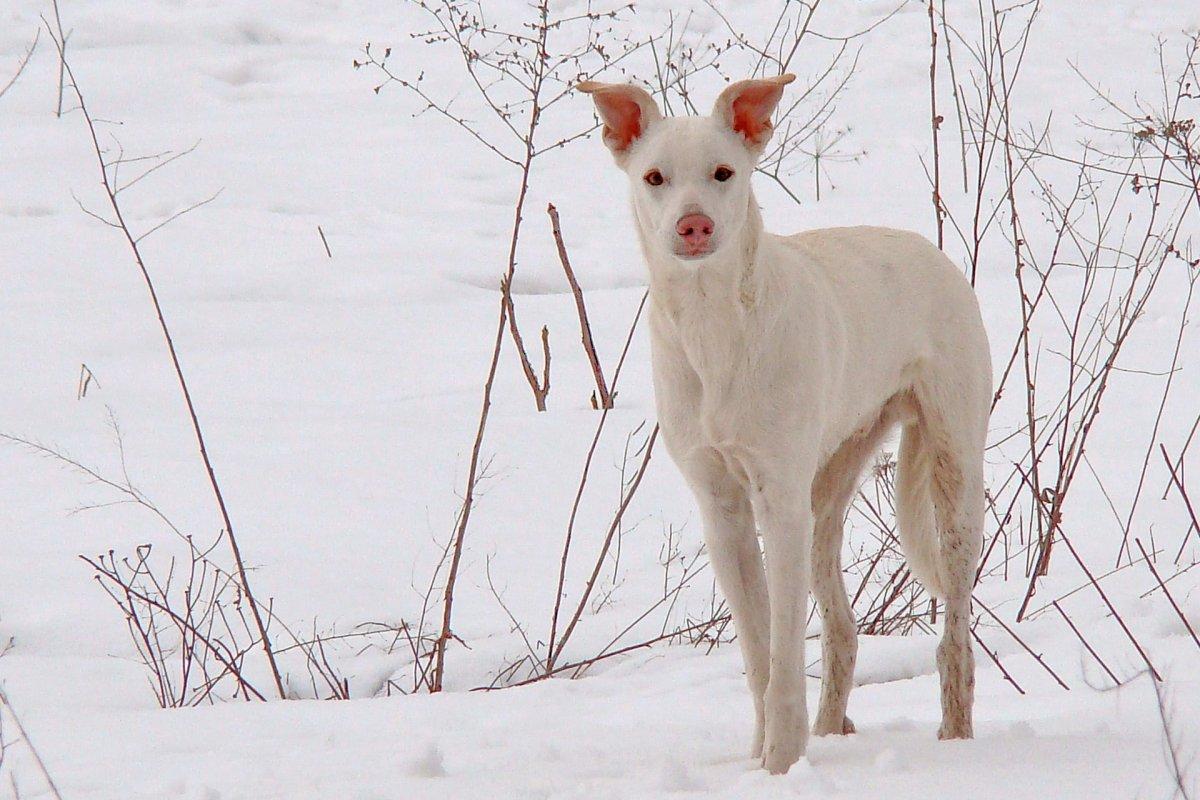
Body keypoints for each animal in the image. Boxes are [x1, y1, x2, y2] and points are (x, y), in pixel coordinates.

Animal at [576, 76, 988, 777]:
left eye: (724, 173)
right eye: (655, 177)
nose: (693, 224)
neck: (715, 328)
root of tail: (931, 250)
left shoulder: (778, 499)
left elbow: (785, 651)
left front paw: (781, 761)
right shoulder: (723, 509)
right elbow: (758, 653)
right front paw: (769, 757)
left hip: (953, 476)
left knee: (953, 640)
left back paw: (956, 740)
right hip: (827, 489)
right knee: (843, 630)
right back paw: (831, 730)